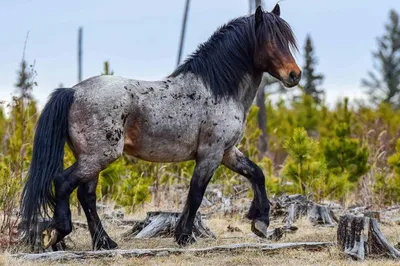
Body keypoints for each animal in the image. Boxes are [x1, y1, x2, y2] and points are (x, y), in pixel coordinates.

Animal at [18, 3, 300, 249]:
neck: (217, 89)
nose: (294, 75)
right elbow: (196, 194)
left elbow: (256, 174)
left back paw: (104, 242)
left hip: (90, 158)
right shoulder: (211, 154)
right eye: (270, 40)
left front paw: (260, 222)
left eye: (286, 40)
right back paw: (61, 233)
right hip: (100, 156)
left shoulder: (227, 152)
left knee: (86, 196)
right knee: (63, 183)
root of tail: (72, 91)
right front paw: (184, 236)